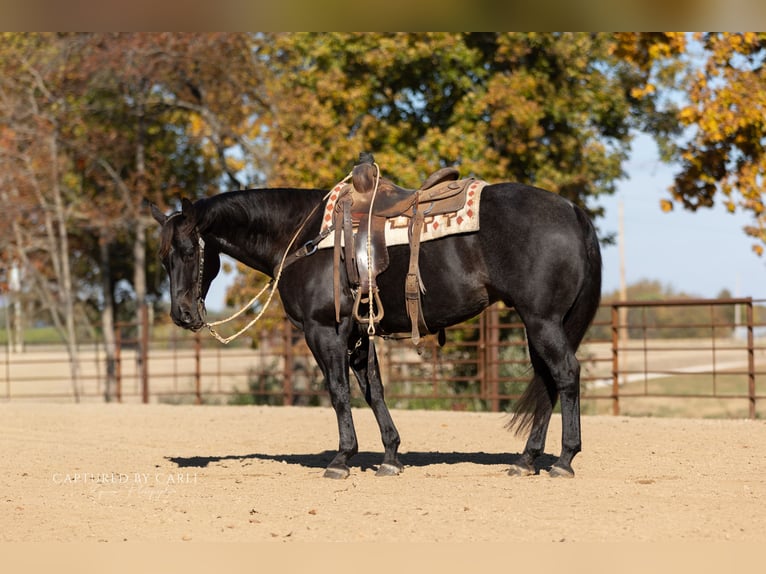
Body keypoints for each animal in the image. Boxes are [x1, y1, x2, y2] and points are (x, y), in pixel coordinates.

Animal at [150, 175, 602, 479]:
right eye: (163, 257)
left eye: (189, 251)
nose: (182, 314)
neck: (303, 235)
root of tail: (572, 210)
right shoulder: (357, 335)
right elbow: (373, 390)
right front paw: (389, 456)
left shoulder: (324, 331)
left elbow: (338, 391)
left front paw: (342, 458)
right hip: (538, 324)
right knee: (547, 381)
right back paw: (526, 460)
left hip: (542, 321)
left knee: (565, 375)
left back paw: (564, 460)